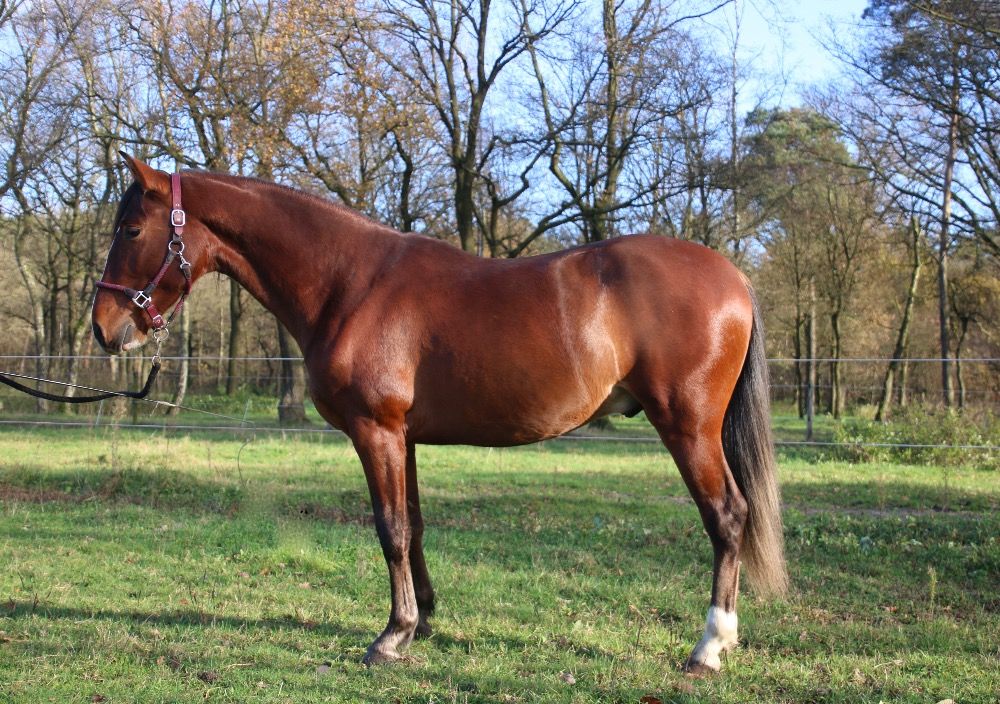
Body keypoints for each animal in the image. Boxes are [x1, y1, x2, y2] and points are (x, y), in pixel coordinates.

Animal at [92, 154, 787, 675]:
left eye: (131, 230)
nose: (104, 329)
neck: (351, 284)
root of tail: (733, 278)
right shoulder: (405, 438)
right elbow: (416, 526)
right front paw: (421, 620)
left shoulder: (375, 432)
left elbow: (390, 529)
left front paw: (390, 636)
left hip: (688, 427)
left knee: (728, 517)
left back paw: (708, 647)